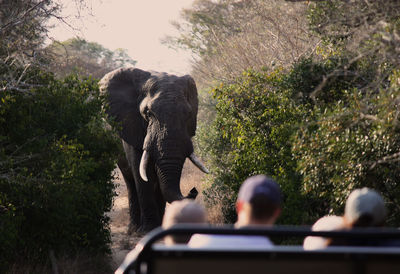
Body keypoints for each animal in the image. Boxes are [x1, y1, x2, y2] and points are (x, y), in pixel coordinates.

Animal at [99, 67, 209, 232]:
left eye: (188, 114)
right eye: (148, 113)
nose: (194, 190)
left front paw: (156, 229)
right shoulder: (131, 125)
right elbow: (143, 175)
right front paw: (146, 231)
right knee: (130, 180)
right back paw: (133, 230)